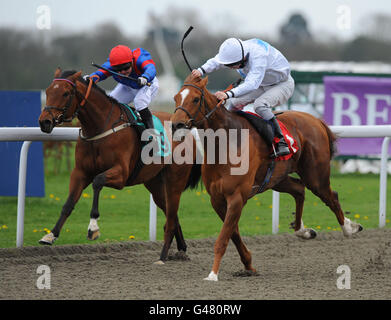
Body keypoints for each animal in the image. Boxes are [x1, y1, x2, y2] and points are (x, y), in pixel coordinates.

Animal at [39, 68, 202, 262]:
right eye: (48, 91)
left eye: (65, 93)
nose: (44, 122)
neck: (100, 128)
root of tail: (185, 127)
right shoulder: (80, 172)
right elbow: (68, 203)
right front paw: (51, 235)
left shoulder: (121, 174)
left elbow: (97, 181)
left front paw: (93, 228)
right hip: (155, 184)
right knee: (172, 212)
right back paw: (181, 248)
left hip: (175, 179)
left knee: (172, 210)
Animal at [172, 74, 364, 280]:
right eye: (176, 97)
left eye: (195, 99)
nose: (176, 124)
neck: (226, 142)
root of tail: (315, 119)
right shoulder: (217, 199)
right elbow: (233, 233)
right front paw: (248, 265)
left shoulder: (237, 197)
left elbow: (224, 237)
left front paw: (213, 274)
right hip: (277, 179)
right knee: (299, 189)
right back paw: (302, 231)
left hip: (315, 176)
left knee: (331, 196)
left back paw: (349, 228)